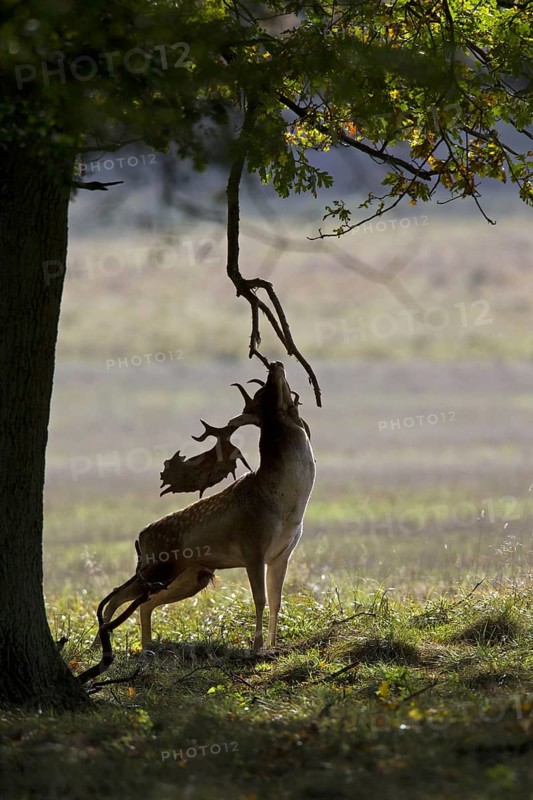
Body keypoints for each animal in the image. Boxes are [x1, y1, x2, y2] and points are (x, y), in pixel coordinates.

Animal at [81, 361, 315, 684]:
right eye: (265, 393)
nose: (276, 364)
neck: (287, 504)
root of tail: (140, 538)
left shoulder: (282, 553)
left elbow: (277, 600)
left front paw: (273, 645)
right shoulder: (252, 547)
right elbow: (260, 599)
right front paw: (256, 649)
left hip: (191, 576)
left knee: (143, 603)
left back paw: (146, 648)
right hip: (159, 567)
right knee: (117, 597)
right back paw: (98, 649)